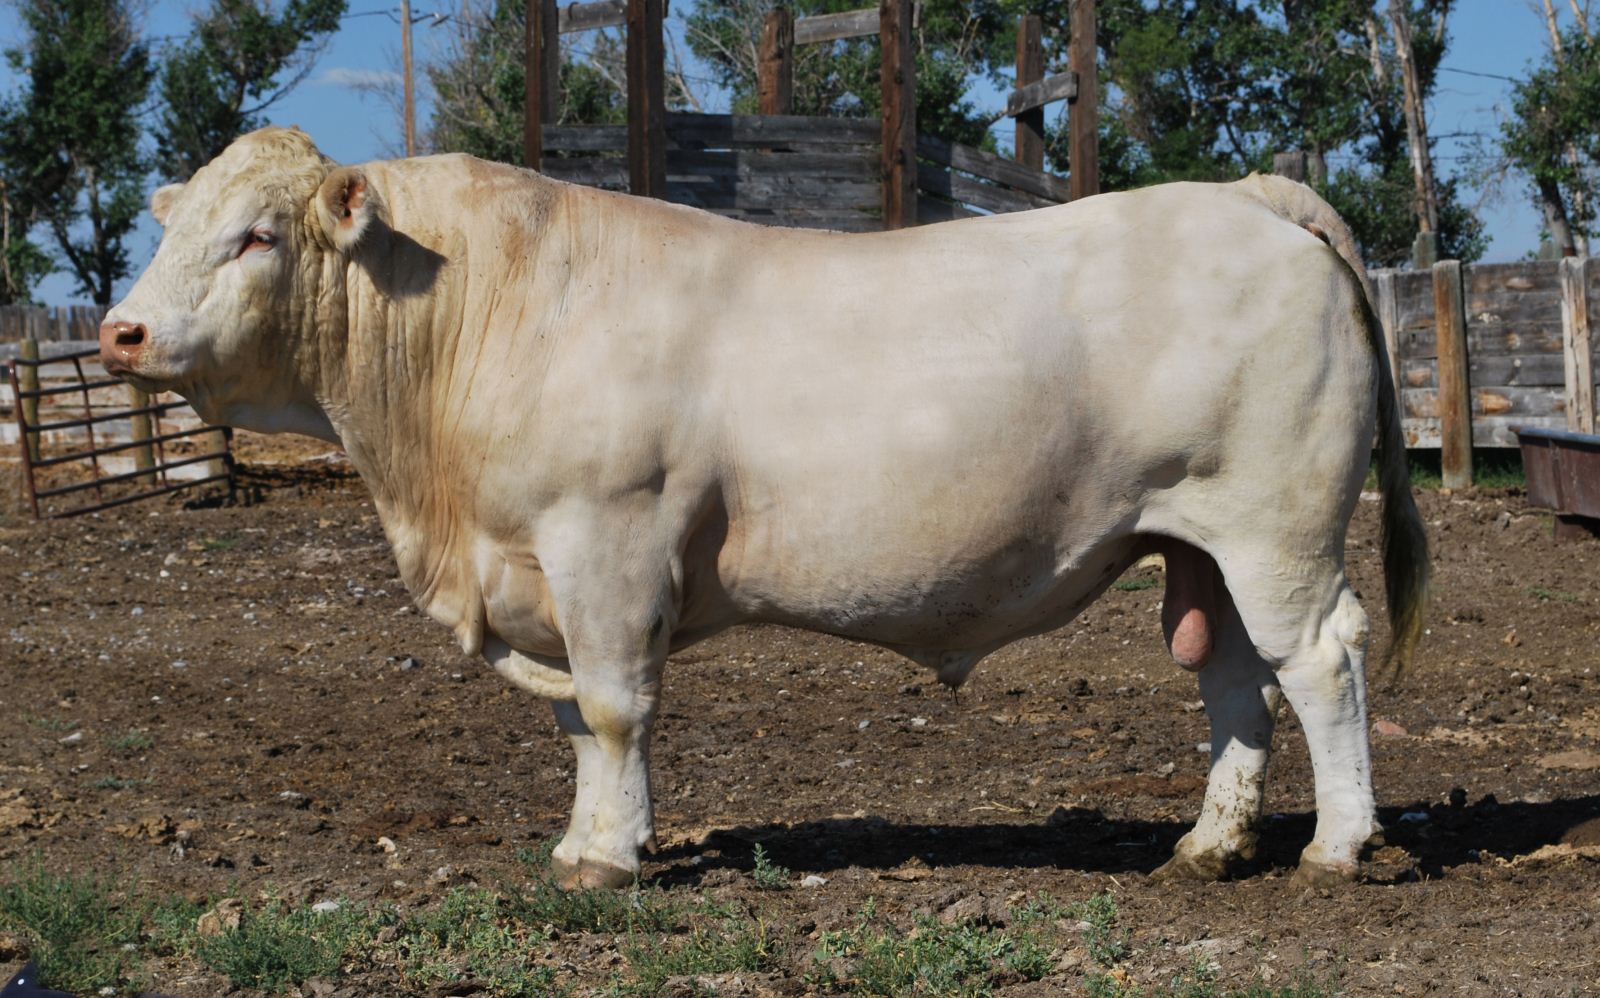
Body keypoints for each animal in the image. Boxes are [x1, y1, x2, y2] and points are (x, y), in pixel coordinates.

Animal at [100, 126, 1427, 889]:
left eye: (256, 235)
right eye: (178, 225)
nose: (122, 331)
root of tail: (1244, 195)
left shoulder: (607, 541)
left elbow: (615, 707)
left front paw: (613, 858)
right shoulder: (540, 571)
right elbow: (575, 719)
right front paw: (584, 838)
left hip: (1277, 523)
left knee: (1319, 659)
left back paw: (1338, 846)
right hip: (1195, 537)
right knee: (1232, 676)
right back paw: (1209, 845)